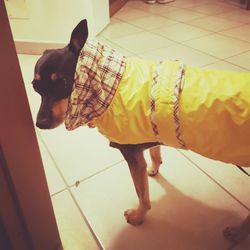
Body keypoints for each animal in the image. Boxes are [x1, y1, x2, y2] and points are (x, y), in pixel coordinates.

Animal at [33, 19, 250, 248]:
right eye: (35, 87)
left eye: (63, 84)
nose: (40, 123)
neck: (111, 88)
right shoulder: (151, 132)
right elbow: (155, 152)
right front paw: (155, 169)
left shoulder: (133, 158)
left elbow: (142, 196)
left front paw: (138, 216)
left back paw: (237, 233)